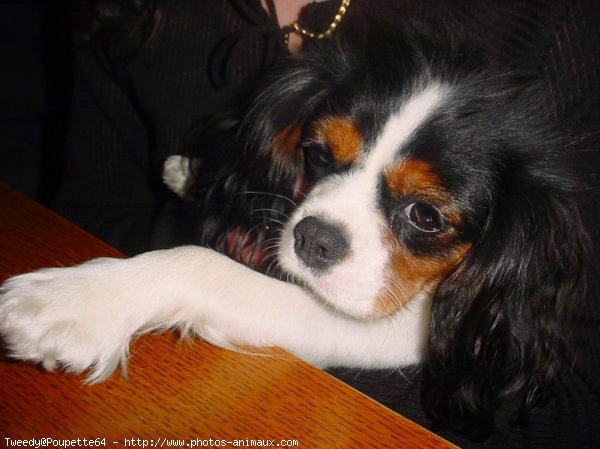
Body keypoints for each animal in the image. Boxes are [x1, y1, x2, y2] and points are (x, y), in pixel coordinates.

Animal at [0, 25, 592, 438]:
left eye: (425, 216)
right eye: (318, 153)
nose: (314, 239)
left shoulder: (401, 323)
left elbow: (204, 264)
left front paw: (74, 300)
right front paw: (194, 174)